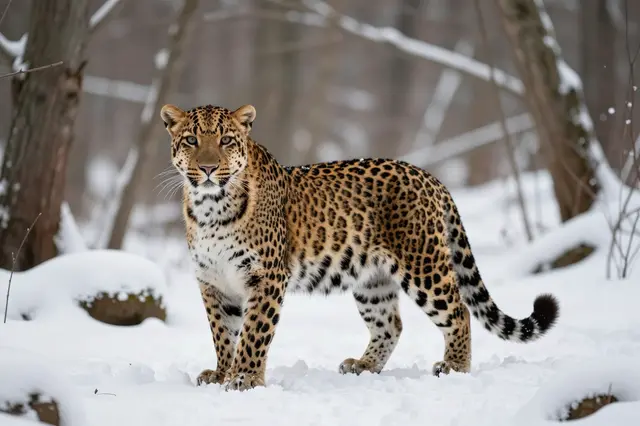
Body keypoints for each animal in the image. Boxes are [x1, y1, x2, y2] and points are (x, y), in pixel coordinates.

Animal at [159, 102, 559, 392]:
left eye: (226, 140)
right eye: (191, 140)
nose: (208, 168)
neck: (210, 207)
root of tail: (430, 177)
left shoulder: (267, 277)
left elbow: (255, 332)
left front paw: (245, 379)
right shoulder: (213, 281)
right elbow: (223, 333)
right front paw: (221, 373)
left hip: (424, 265)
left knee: (459, 310)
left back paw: (455, 367)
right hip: (372, 280)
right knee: (391, 324)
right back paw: (364, 365)